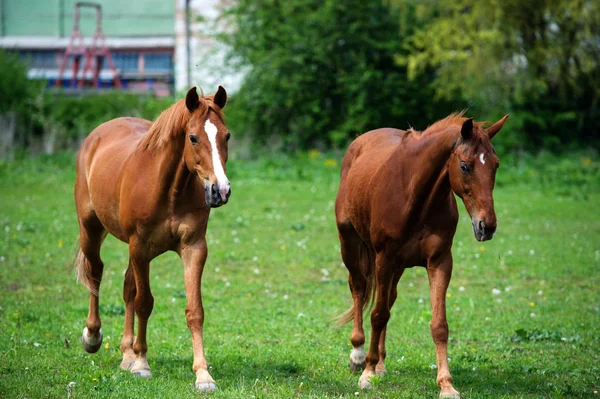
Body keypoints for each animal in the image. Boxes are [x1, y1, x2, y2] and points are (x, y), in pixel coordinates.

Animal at [73, 86, 232, 390]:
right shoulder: (140, 246)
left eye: (226, 135)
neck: (168, 188)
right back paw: (93, 336)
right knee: (96, 272)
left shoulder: (194, 248)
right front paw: (142, 364)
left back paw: (126, 353)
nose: (220, 190)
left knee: (126, 287)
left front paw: (203, 374)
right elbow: (144, 303)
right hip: (92, 230)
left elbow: (194, 311)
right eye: (193, 137)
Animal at [336, 111, 508, 396]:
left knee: (388, 300)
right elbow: (377, 314)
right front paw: (367, 374)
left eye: (495, 165)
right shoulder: (384, 258)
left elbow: (438, 325)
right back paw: (359, 355)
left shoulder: (439, 261)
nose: (487, 226)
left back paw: (380, 363)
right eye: (464, 166)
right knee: (359, 289)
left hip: (397, 267)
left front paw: (446, 385)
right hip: (350, 243)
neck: (415, 195)